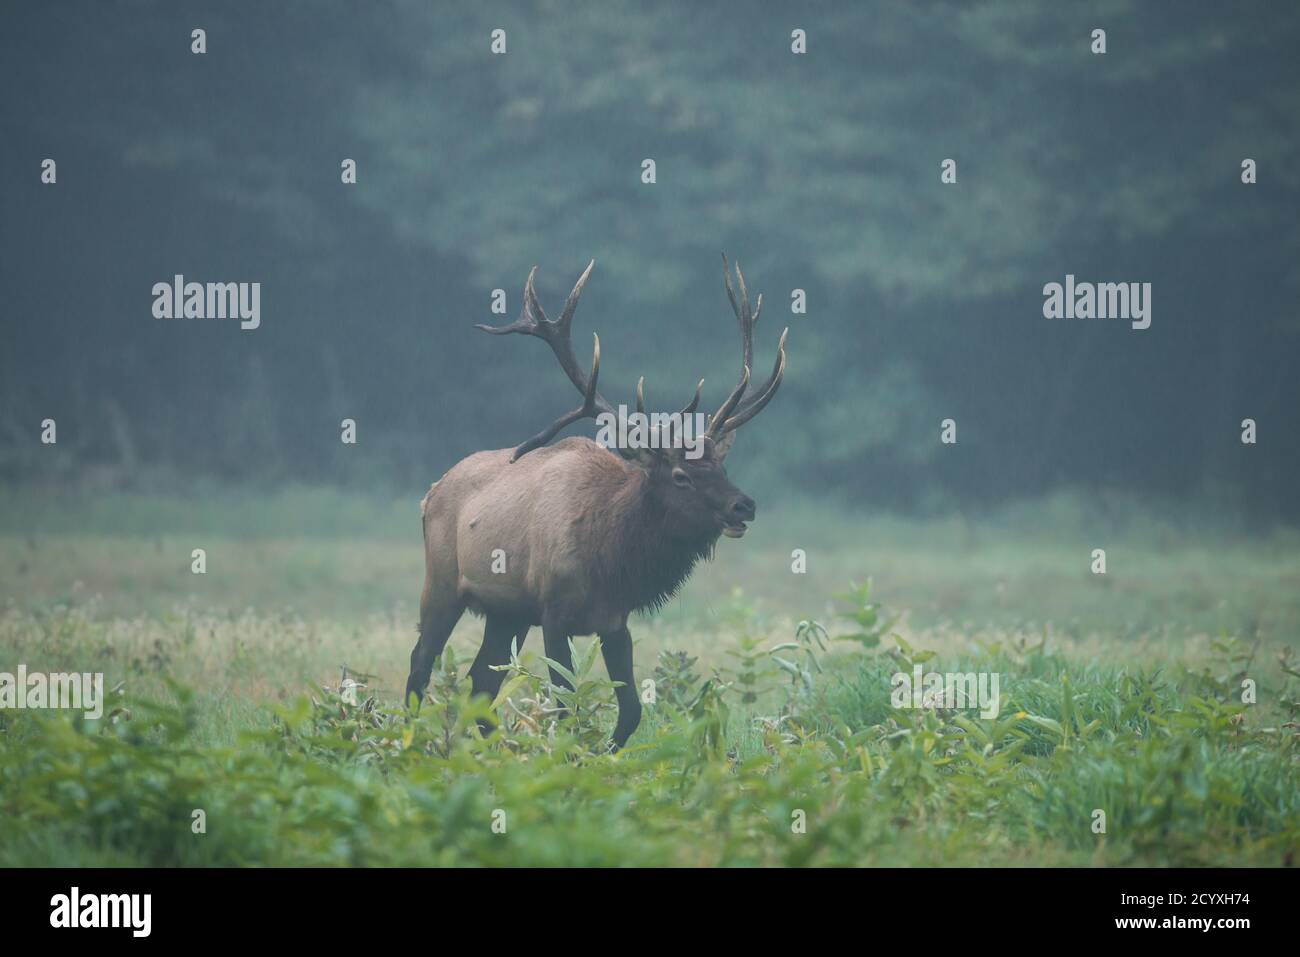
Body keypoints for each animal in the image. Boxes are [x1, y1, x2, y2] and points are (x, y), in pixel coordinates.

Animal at [405, 257, 785, 748]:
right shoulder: (553, 613)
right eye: (681, 476)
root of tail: (429, 492)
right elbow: (566, 706)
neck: (609, 556)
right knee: (420, 663)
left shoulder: (614, 621)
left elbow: (631, 711)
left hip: (507, 612)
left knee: (479, 681)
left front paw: (600, 754)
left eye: (721, 466)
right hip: (442, 583)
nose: (744, 506)